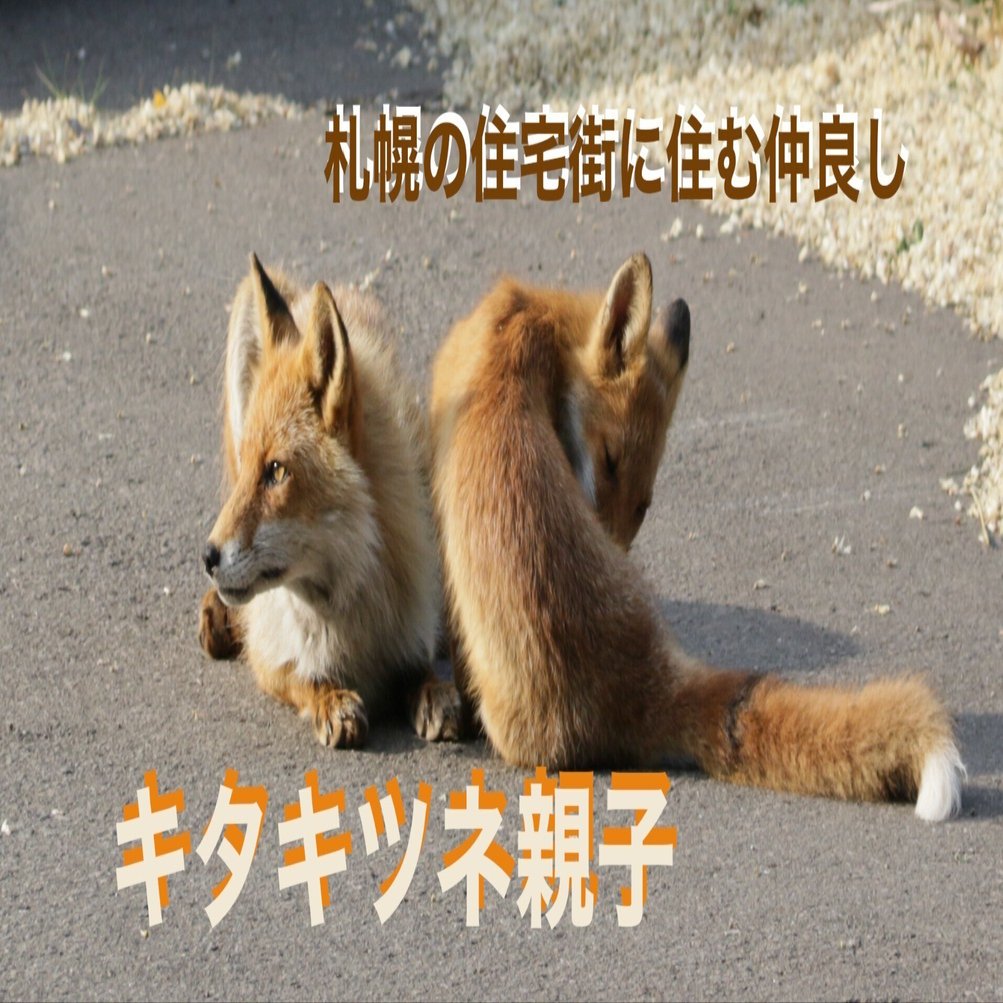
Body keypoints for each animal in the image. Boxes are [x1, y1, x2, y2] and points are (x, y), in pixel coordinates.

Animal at [198, 255, 458, 747]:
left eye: (277, 471)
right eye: (253, 466)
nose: (207, 556)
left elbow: (421, 664)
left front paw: (434, 691)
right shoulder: (270, 654)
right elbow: (300, 675)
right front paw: (331, 699)